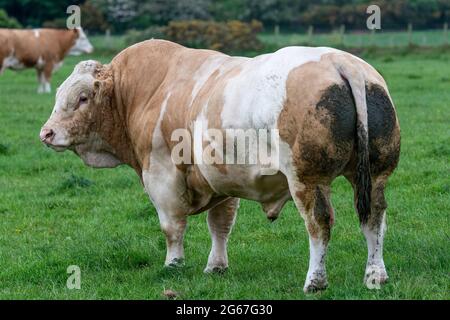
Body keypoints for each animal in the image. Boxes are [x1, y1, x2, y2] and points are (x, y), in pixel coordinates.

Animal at [39, 40, 400, 292]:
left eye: (82, 98)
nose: (47, 132)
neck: (144, 94)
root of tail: (338, 61)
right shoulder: (221, 180)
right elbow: (220, 226)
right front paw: (216, 266)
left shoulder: (162, 177)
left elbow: (172, 228)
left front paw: (173, 264)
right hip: (376, 175)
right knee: (374, 219)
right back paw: (376, 274)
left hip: (307, 179)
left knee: (319, 224)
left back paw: (315, 281)